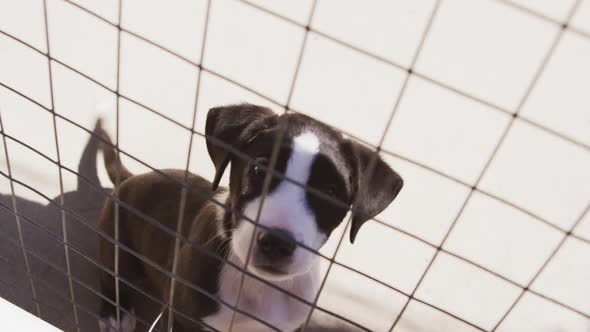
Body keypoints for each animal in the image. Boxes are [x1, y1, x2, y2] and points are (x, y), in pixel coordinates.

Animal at [97, 102, 404, 330]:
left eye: (330, 192)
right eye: (259, 169)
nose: (277, 243)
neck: (259, 285)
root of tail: (132, 178)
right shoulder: (184, 318)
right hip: (116, 242)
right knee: (112, 274)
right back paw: (115, 314)